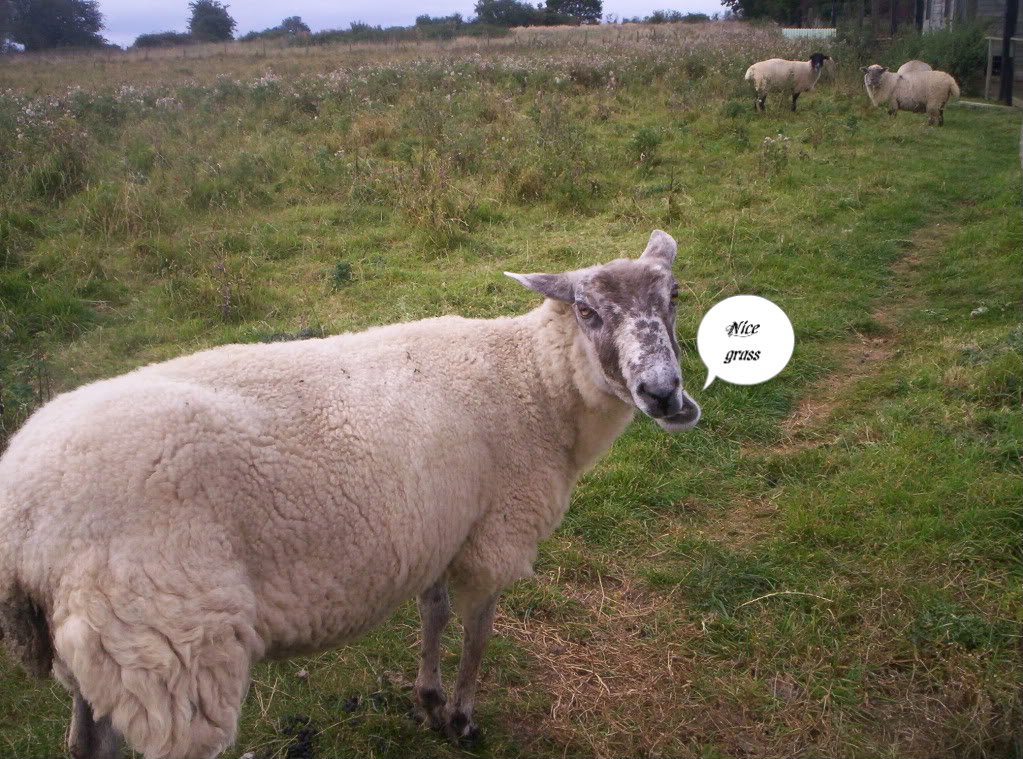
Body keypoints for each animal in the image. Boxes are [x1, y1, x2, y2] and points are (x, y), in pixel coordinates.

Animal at [0, 230, 703, 759]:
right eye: (589, 312)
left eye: (673, 297)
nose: (664, 394)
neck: (533, 381)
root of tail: (21, 518)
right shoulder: (496, 533)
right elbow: (478, 635)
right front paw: (462, 719)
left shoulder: (440, 524)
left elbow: (434, 614)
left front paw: (428, 701)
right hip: (171, 648)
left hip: (106, 650)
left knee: (86, 742)